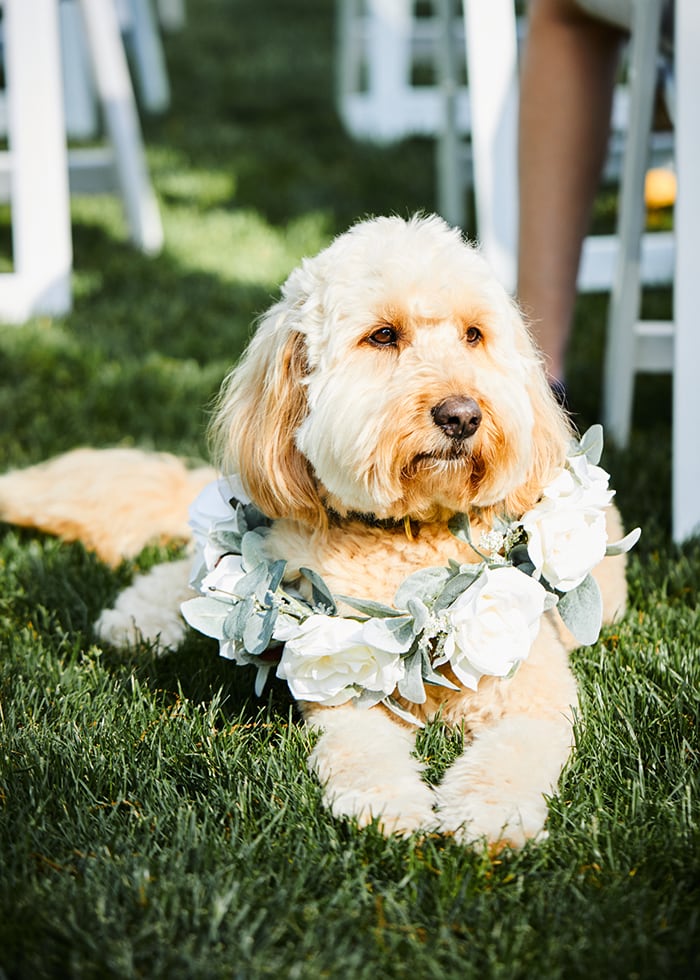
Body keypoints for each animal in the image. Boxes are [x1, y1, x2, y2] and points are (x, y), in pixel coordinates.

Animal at [0, 216, 632, 848]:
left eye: (474, 335)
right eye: (383, 336)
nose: (462, 415)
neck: (409, 544)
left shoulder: (532, 693)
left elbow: (514, 756)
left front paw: (490, 815)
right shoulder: (342, 681)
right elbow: (362, 754)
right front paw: (390, 806)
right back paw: (138, 618)